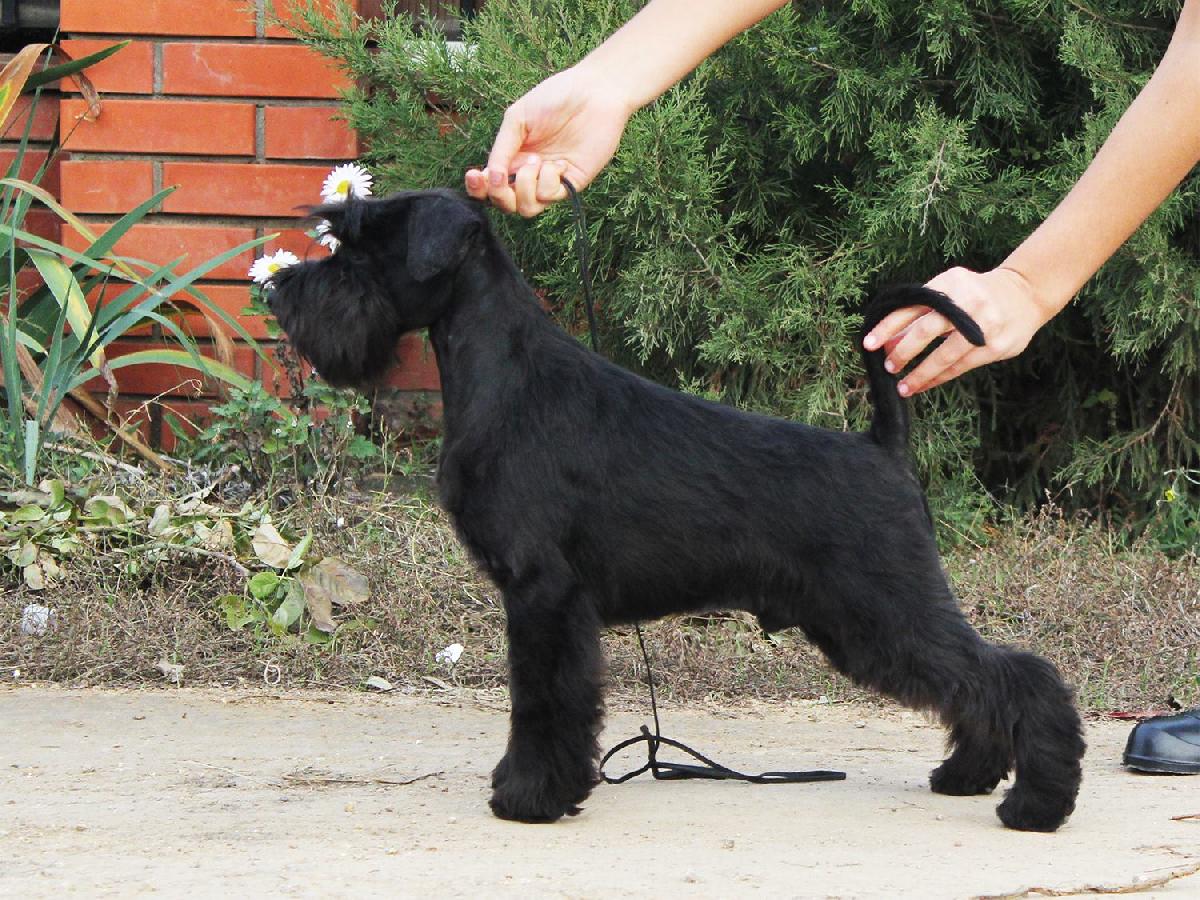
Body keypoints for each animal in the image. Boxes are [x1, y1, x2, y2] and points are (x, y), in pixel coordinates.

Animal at [268, 188, 1085, 832]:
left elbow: (541, 702)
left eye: (359, 249)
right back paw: (968, 776)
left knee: (1017, 676)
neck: (508, 379)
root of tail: (880, 445)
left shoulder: (542, 595)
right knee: (979, 683)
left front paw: (528, 797)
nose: (278, 293)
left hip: (886, 611)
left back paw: (1035, 804)